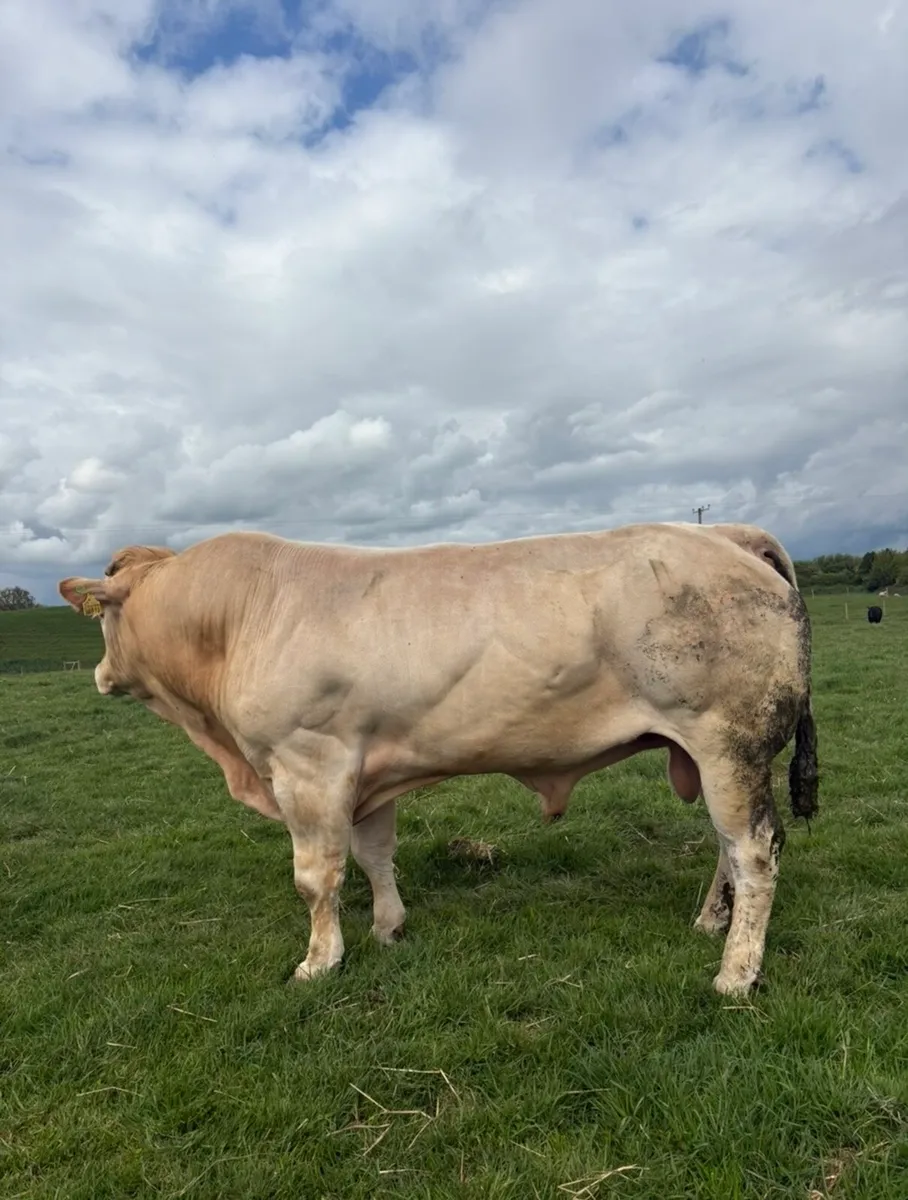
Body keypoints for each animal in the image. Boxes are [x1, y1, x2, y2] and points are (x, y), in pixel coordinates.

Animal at [58, 520, 819, 997]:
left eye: (103, 618)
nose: (98, 675)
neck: (238, 619)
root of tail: (723, 534)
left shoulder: (309, 765)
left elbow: (316, 877)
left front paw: (319, 962)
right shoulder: (366, 768)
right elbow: (374, 856)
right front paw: (389, 928)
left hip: (728, 741)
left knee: (754, 850)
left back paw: (736, 973)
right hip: (714, 752)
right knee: (725, 846)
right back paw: (711, 922)